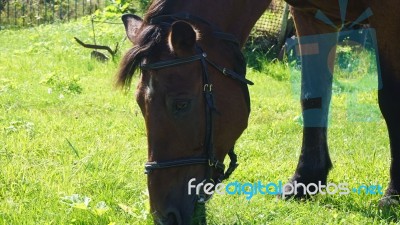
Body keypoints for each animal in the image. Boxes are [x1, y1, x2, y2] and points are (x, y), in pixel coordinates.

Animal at [116, 0, 400, 224]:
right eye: (140, 104)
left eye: (181, 104)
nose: (164, 216)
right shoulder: (310, 16)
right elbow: (313, 96)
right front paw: (305, 180)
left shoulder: (388, 15)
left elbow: (390, 100)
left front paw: (393, 194)